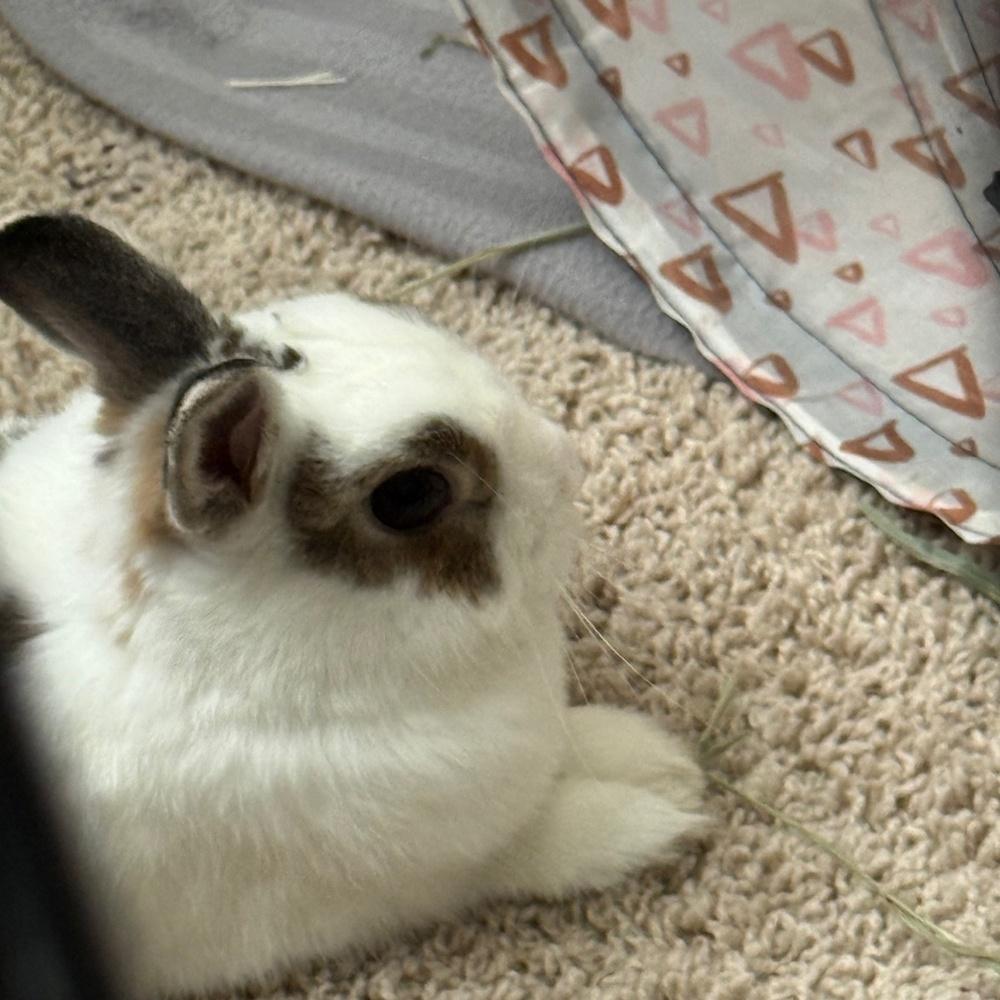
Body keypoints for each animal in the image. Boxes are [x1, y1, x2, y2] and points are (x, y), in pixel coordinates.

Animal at [0, 213, 705, 998]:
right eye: (412, 494)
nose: (569, 460)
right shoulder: (422, 875)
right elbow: (535, 842)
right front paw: (664, 815)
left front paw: (664, 759)